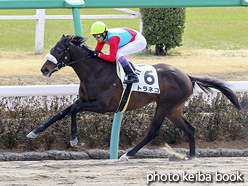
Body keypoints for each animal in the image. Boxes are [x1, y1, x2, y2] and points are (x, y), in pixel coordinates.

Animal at [27, 34, 246, 158]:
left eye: (59, 49)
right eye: (51, 48)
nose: (44, 69)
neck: (94, 71)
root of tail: (187, 76)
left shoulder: (102, 106)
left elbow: (73, 109)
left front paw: (73, 138)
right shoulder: (85, 100)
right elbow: (62, 113)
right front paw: (34, 132)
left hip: (164, 106)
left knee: (153, 132)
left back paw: (128, 154)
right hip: (174, 110)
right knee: (190, 129)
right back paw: (191, 158)